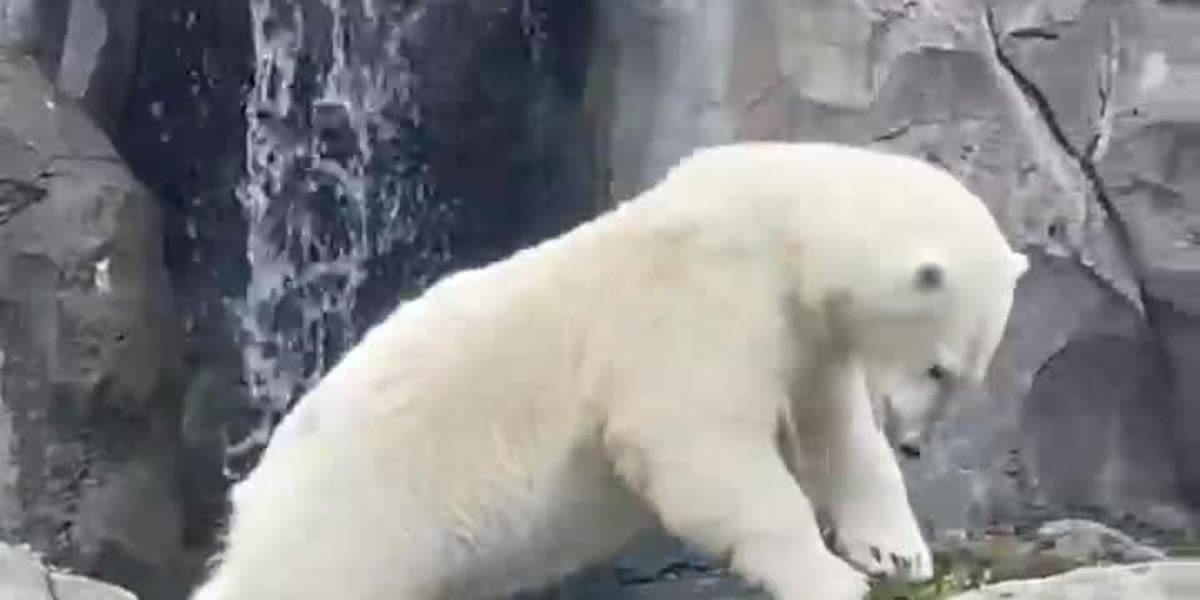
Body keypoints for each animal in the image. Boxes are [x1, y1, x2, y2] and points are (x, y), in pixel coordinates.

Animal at [192, 141, 1027, 600]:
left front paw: (898, 552)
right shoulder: (691, 300)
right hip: (360, 515)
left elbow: (836, 435)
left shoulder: (804, 338)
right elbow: (698, 447)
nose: (917, 441)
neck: (774, 223)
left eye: (964, 373)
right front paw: (832, 579)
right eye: (940, 368)